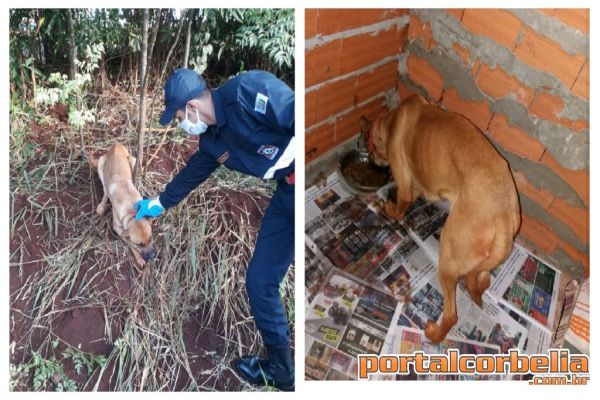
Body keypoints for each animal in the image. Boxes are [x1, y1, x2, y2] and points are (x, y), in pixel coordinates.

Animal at [360, 96, 520, 344]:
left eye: (372, 146)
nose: (372, 161)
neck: (393, 120)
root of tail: (502, 215)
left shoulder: (405, 186)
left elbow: (400, 207)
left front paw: (389, 208)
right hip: (486, 259)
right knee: (481, 278)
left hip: (448, 254)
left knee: (452, 314)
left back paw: (435, 334)